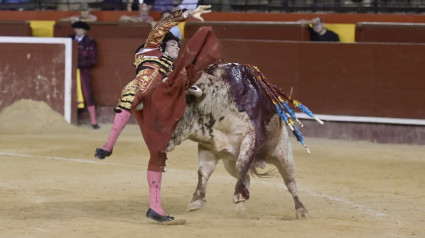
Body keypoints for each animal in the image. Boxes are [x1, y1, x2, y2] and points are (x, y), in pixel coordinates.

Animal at [167, 62, 310, 218]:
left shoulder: (251, 137)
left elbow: (241, 163)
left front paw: (239, 195)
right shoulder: (208, 146)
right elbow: (204, 171)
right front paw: (197, 200)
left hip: (283, 154)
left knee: (290, 181)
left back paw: (301, 210)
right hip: (229, 163)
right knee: (245, 177)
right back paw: (241, 208)